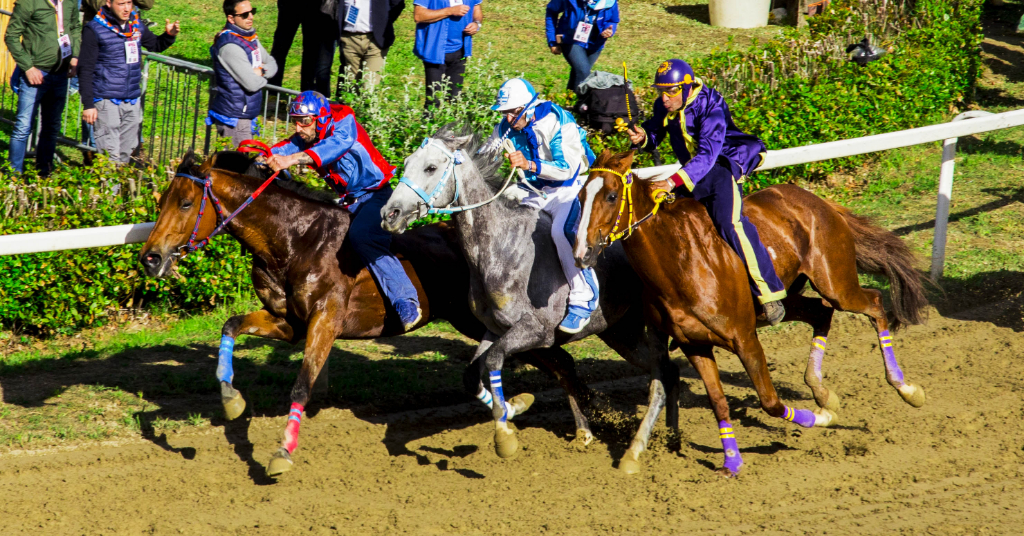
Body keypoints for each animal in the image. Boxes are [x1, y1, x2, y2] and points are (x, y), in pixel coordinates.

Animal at [140, 150, 598, 477]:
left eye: (185, 203)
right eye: (161, 201)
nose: (150, 258)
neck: (294, 239)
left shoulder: (325, 321)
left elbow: (301, 387)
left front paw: (282, 452)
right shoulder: (289, 323)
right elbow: (230, 325)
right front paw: (231, 400)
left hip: (484, 319)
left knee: (558, 359)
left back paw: (578, 425)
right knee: (551, 361)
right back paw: (524, 408)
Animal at [385, 127, 679, 473]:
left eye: (430, 167)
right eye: (407, 163)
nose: (389, 214)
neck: (500, 249)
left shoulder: (536, 332)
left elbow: (494, 360)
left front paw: (505, 435)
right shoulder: (495, 329)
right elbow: (471, 375)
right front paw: (517, 405)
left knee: (663, 374)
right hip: (622, 332)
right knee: (669, 372)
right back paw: (671, 437)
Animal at [573, 148, 933, 475]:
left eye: (610, 196)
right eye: (579, 197)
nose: (581, 251)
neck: (678, 263)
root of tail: (814, 200)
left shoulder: (744, 338)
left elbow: (770, 402)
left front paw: (823, 418)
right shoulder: (694, 344)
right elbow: (719, 403)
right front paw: (732, 461)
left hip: (836, 282)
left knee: (873, 303)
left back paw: (906, 389)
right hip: (790, 298)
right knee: (820, 313)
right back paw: (822, 391)